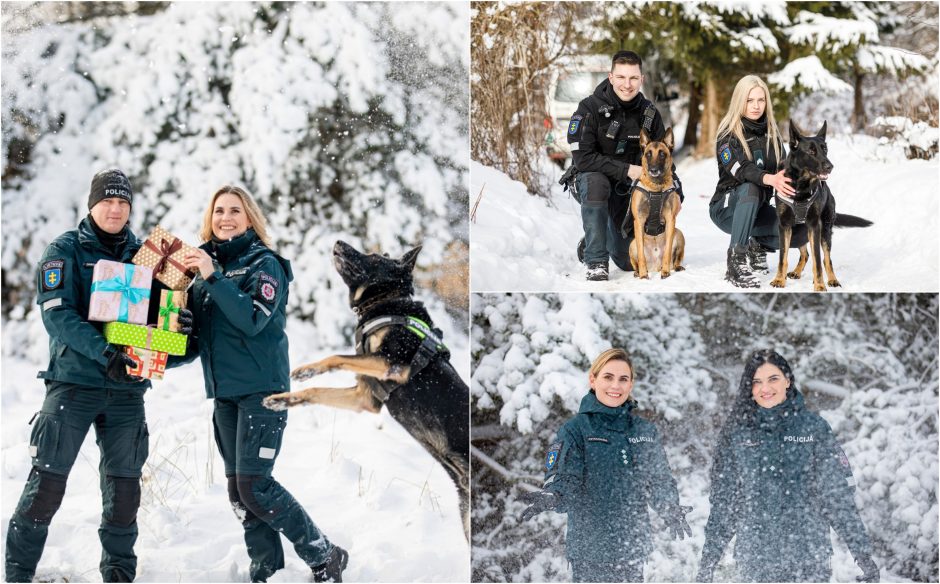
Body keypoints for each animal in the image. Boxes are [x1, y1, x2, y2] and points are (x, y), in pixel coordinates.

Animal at [260, 240, 470, 540]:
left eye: (374, 257)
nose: (338, 242)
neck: (386, 304)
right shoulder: (365, 398)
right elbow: (316, 391)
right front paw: (284, 397)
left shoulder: (393, 365)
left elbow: (336, 356)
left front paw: (306, 372)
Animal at [628, 129, 688, 278]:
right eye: (648, 154)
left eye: (662, 154)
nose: (653, 170)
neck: (655, 188)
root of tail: (655, 266)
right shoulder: (639, 221)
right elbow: (641, 255)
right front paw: (643, 275)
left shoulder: (671, 219)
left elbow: (667, 251)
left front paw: (665, 271)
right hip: (632, 245)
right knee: (636, 262)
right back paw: (638, 272)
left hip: (679, 234)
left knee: (676, 259)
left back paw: (676, 267)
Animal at [772, 121, 872, 292]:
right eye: (811, 151)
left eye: (825, 150)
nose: (830, 166)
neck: (801, 186)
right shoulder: (784, 226)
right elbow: (782, 258)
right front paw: (779, 279)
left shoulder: (814, 226)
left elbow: (818, 261)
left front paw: (819, 285)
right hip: (798, 232)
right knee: (805, 254)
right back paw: (796, 272)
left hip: (824, 230)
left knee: (826, 258)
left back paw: (832, 280)